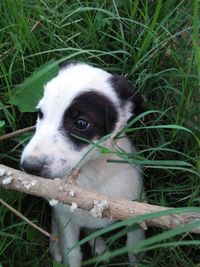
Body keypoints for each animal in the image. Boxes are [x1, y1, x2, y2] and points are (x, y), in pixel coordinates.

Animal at [21, 62, 145, 266]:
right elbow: (72, 253)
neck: (91, 174)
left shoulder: (135, 210)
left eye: (81, 123)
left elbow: (135, 249)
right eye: (41, 113)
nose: (28, 166)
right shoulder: (66, 218)